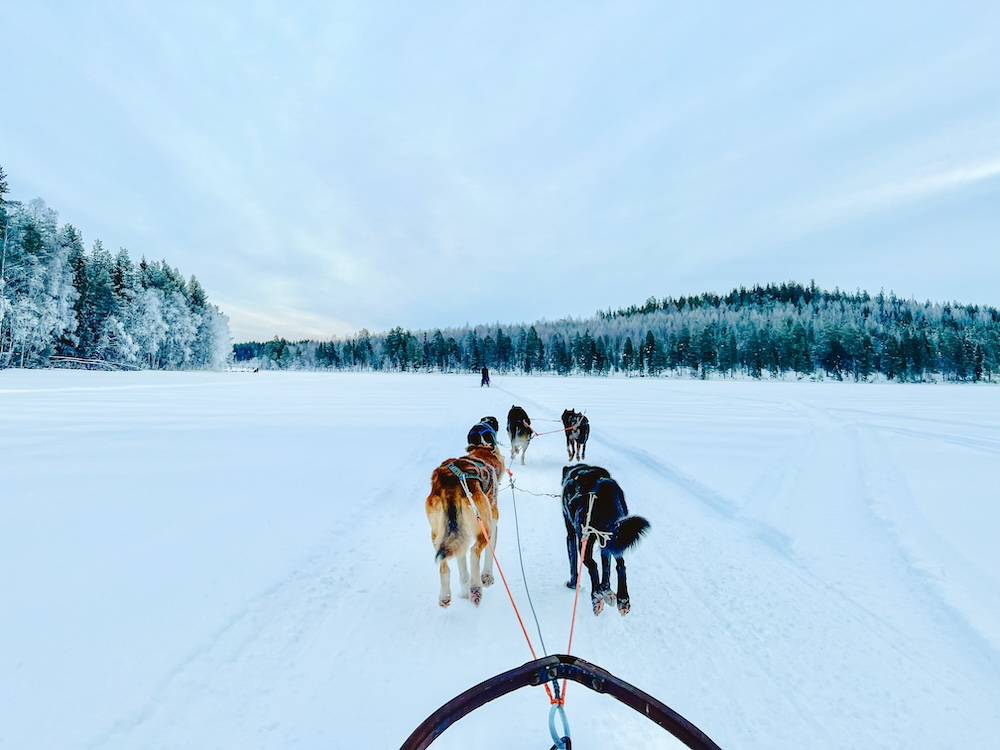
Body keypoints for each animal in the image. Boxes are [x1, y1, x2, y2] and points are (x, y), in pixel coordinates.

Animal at [424, 444, 504, 608]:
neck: (482, 454)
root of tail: (450, 481)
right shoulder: (493, 521)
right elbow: (489, 553)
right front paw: (487, 576)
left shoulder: (459, 537)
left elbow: (462, 570)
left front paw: (463, 591)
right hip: (484, 525)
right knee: (474, 551)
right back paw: (475, 588)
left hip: (437, 534)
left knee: (444, 565)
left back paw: (445, 596)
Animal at [560, 464, 652, 616]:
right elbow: (607, 567)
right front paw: (606, 589)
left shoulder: (571, 536)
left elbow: (573, 565)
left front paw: (572, 584)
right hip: (614, 538)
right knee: (620, 565)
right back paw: (622, 599)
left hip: (585, 540)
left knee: (593, 565)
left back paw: (596, 598)